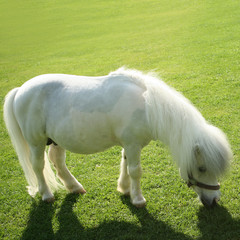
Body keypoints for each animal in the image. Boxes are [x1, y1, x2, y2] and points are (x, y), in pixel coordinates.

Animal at [3, 68, 232, 208]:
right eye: (202, 168)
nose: (214, 201)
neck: (147, 106)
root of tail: (20, 90)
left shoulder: (129, 145)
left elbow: (125, 166)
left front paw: (124, 189)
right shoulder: (133, 145)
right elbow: (135, 171)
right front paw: (138, 199)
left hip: (56, 140)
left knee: (58, 162)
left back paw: (74, 187)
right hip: (36, 142)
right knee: (38, 166)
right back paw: (46, 194)